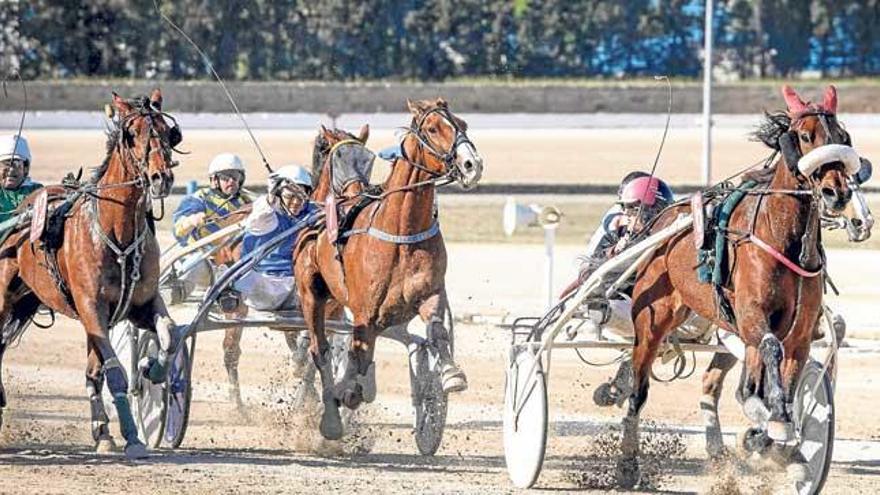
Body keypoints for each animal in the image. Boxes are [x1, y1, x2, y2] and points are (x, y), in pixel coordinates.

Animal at [0, 90, 177, 462]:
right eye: (132, 134)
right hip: (4, 298)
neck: (117, 234)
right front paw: (133, 437)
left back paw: (102, 430)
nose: (161, 178)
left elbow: (169, 334)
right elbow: (115, 372)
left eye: (168, 132)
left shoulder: (139, 306)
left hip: (29, 301)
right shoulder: (91, 308)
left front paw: (150, 368)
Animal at [294, 99, 482, 440]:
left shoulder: (429, 293)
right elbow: (355, 354)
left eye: (462, 124)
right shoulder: (365, 312)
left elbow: (437, 330)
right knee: (320, 350)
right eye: (433, 128)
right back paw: (332, 415)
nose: (472, 164)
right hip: (312, 295)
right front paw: (347, 393)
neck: (401, 230)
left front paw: (450, 374)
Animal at [616, 84, 856, 484]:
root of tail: (663, 220)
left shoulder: (801, 332)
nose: (836, 193)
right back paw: (627, 463)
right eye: (806, 136)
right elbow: (769, 353)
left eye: (843, 137)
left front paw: (776, 440)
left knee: (726, 379)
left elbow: (784, 381)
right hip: (652, 318)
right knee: (638, 388)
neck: (784, 238)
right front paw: (772, 421)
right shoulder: (752, 315)